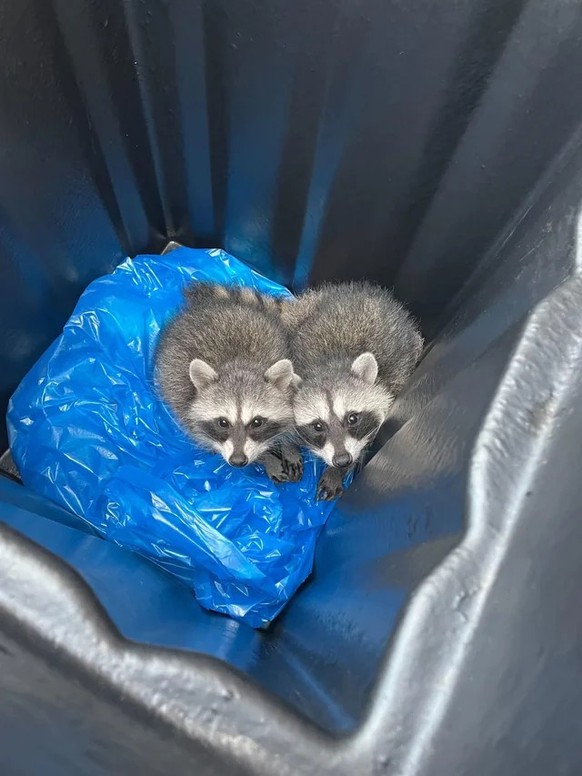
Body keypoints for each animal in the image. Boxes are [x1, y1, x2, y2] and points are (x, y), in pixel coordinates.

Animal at [155, 282, 306, 482]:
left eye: (257, 422)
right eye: (223, 423)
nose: (238, 461)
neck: (238, 365)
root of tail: (203, 308)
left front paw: (289, 446)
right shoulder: (187, 410)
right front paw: (267, 458)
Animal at [280, 282, 422, 500]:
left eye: (352, 418)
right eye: (318, 426)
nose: (341, 461)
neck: (329, 366)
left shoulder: (387, 390)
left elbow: (365, 441)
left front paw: (337, 473)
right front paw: (289, 447)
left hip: (411, 345)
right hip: (302, 310)